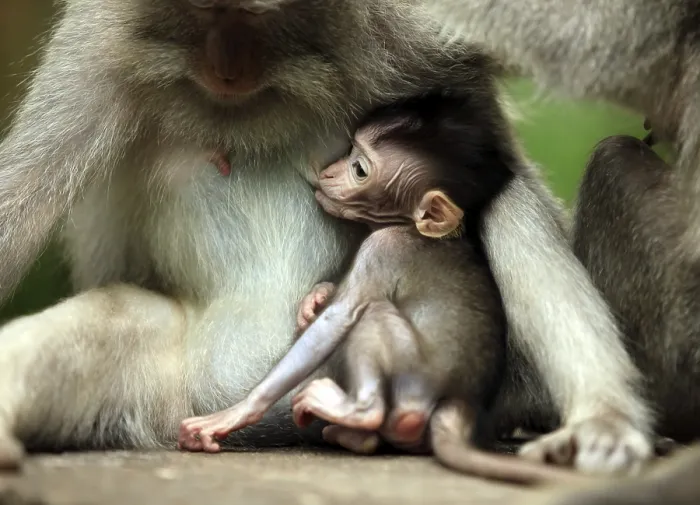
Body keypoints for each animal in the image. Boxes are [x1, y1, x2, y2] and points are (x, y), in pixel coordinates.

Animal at [178, 90, 594, 486]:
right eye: (349, 150)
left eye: (359, 168)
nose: (329, 172)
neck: (411, 226)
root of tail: (458, 404)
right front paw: (316, 298)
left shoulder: (383, 247)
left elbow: (339, 319)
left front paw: (235, 413)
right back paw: (352, 436)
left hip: (414, 381)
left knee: (372, 317)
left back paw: (357, 413)